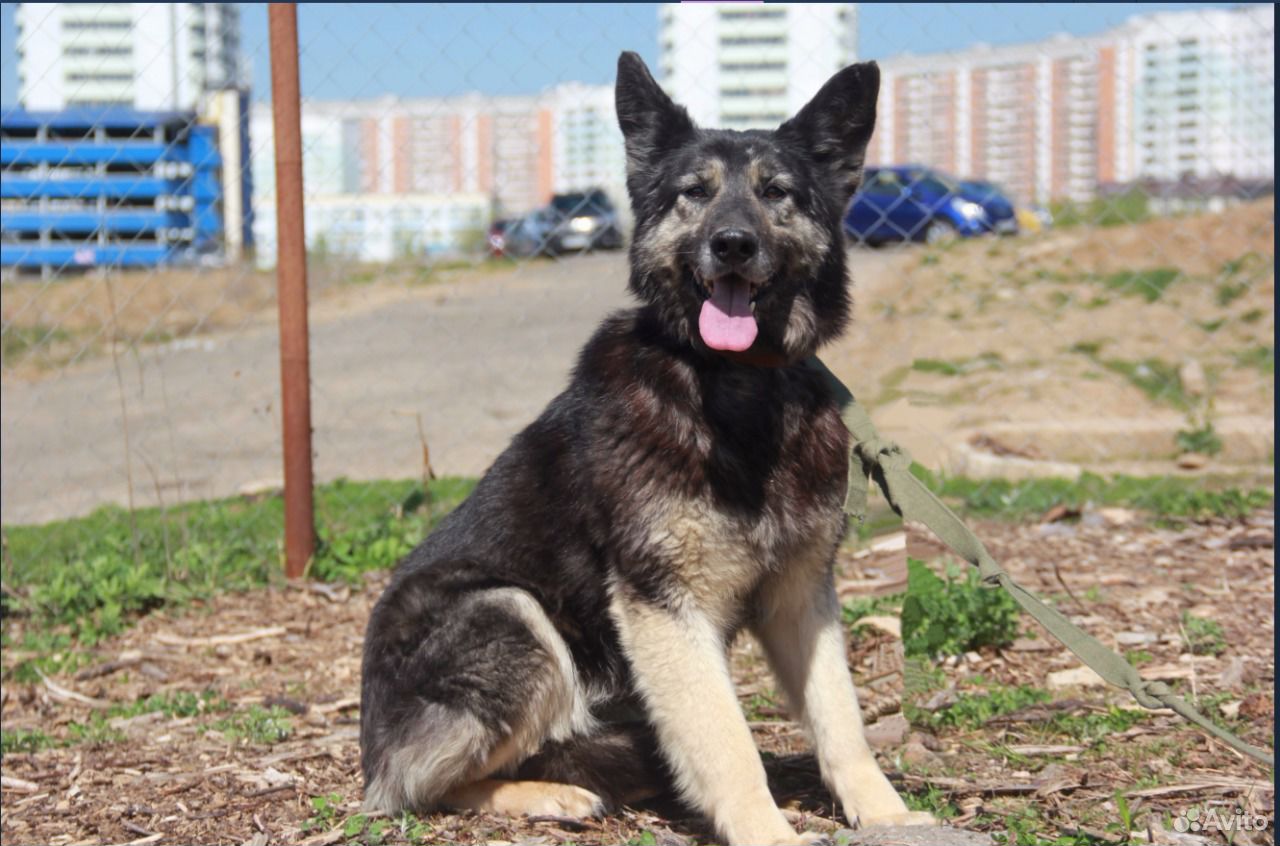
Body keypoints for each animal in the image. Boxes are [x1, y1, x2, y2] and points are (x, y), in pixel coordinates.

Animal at [355, 54, 936, 844]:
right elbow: (728, 741)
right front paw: (767, 830)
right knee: (418, 787)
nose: (732, 244)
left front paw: (886, 814)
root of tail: (368, 740)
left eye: (775, 193)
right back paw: (547, 794)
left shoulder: (800, 598)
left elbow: (840, 720)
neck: (732, 388)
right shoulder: (665, 606)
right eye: (695, 193)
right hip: (508, 613)